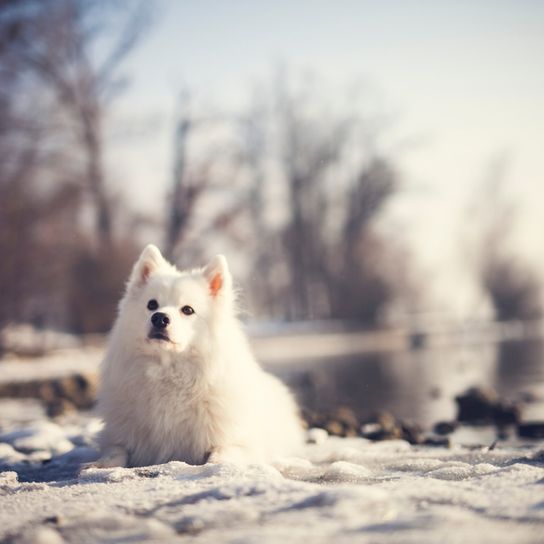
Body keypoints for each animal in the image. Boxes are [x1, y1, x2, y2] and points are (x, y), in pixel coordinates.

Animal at [95, 244, 304, 466]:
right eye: (151, 305)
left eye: (188, 310)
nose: (159, 318)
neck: (167, 372)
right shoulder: (118, 436)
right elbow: (115, 451)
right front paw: (99, 465)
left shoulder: (239, 443)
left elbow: (219, 457)